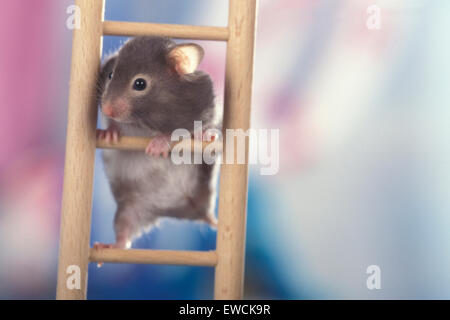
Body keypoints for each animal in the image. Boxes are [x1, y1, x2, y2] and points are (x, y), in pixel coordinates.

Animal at [94, 35, 220, 250]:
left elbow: (181, 132)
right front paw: (109, 134)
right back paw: (107, 246)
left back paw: (207, 136)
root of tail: (190, 210)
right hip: (130, 210)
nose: (108, 109)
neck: (145, 121)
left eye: (140, 84)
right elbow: (115, 125)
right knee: (124, 237)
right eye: (110, 75)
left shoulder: (205, 105)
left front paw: (156, 146)